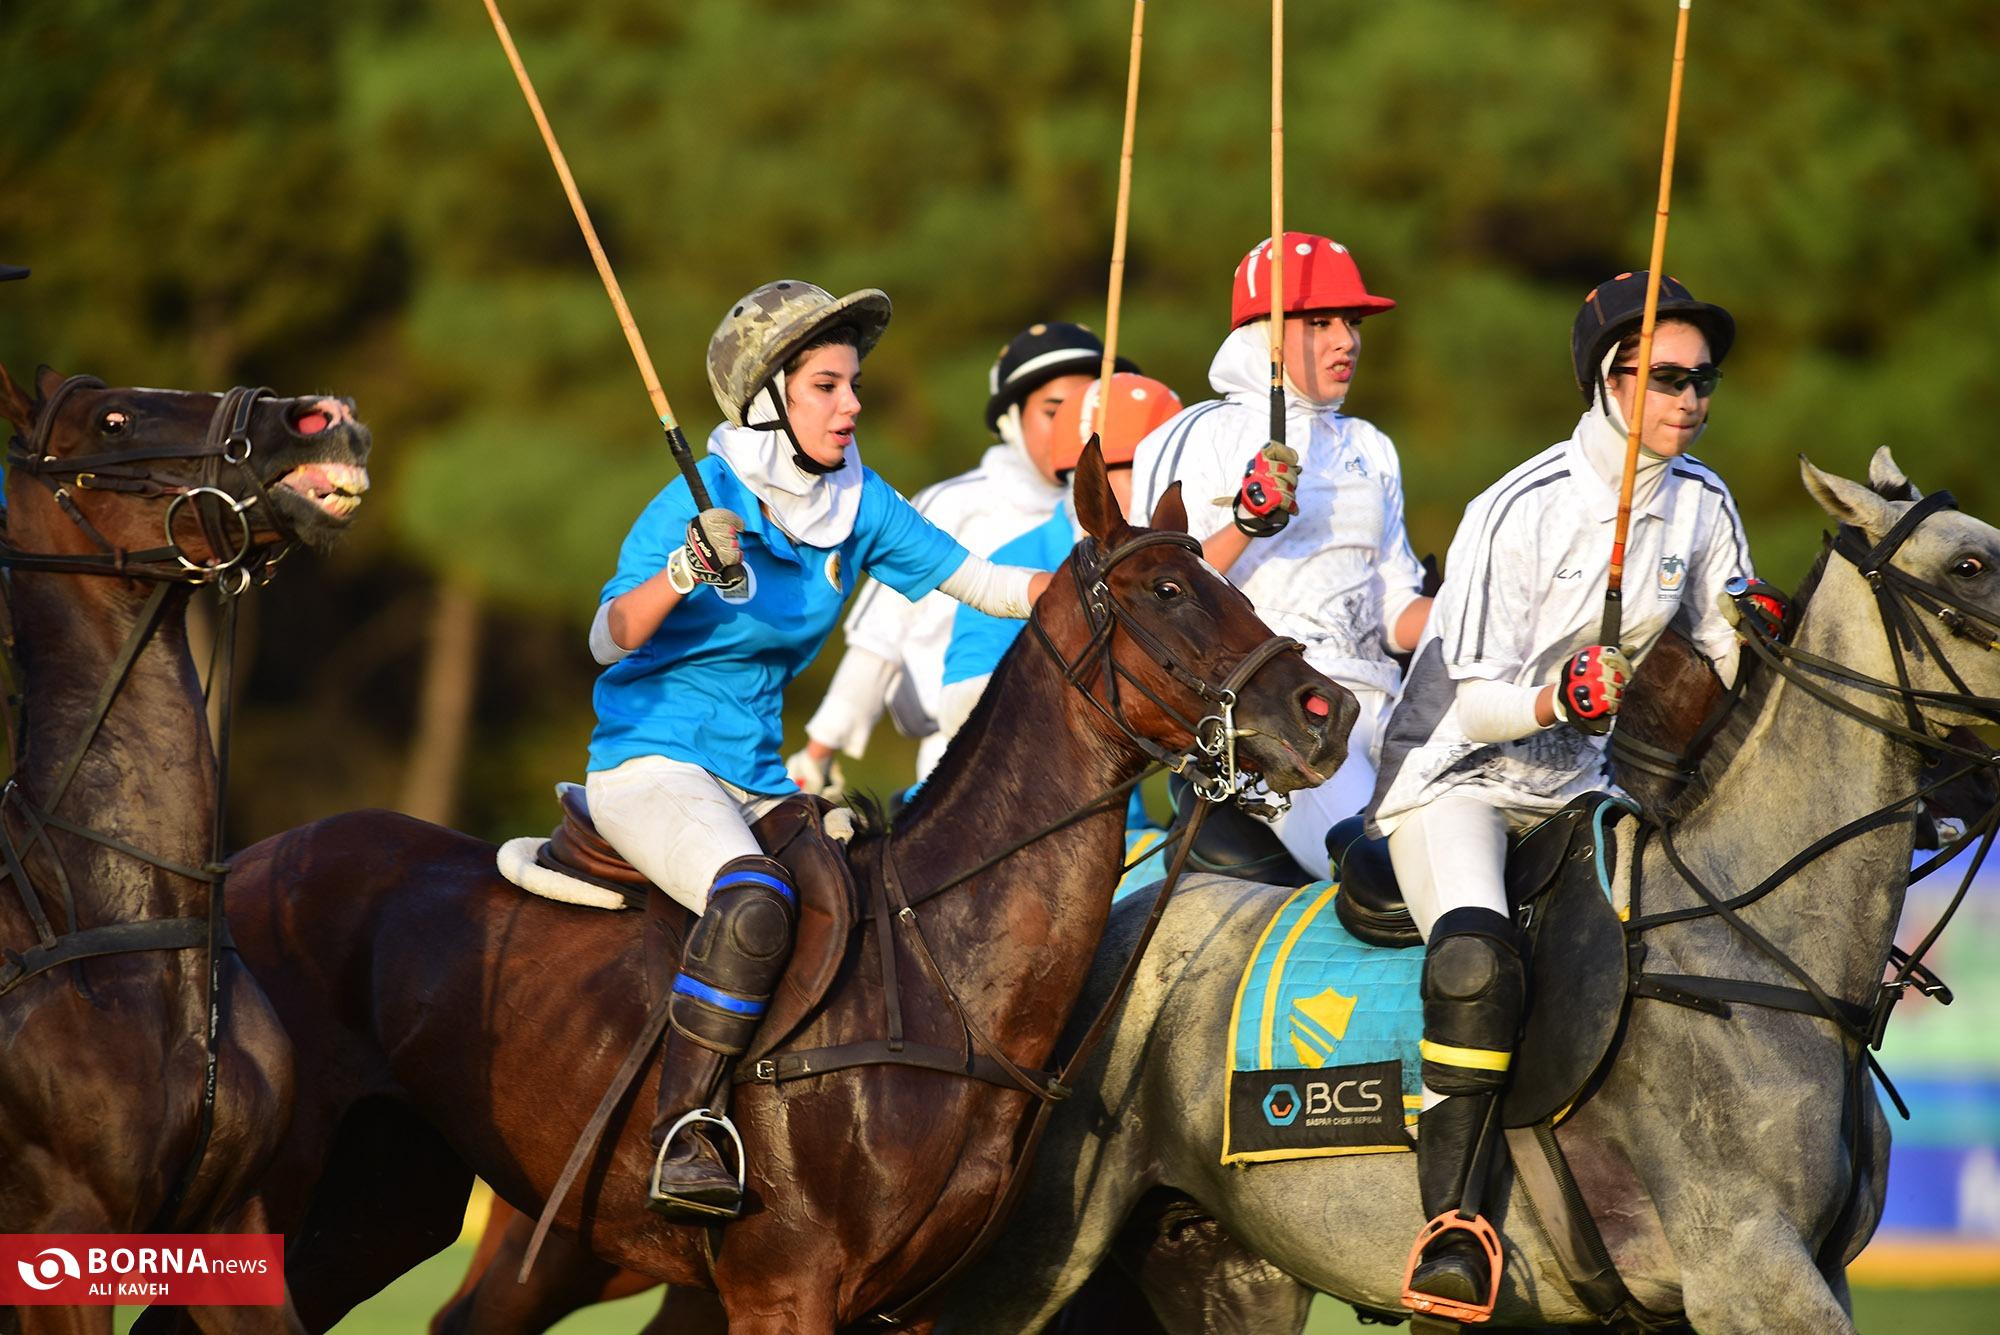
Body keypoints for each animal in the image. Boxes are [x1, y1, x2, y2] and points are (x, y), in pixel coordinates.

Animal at [201, 447, 1354, 1334]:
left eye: (1232, 583)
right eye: (1168, 593)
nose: (1325, 712)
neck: (943, 975)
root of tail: (255, 860)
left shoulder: (912, 1307)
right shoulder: (784, 1289)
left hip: (396, 1198)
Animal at [931, 449, 1999, 1335]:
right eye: (1968, 567)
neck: (1753, 950)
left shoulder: (1806, 1277)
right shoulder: (1749, 1270)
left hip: (1216, 1265)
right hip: (1026, 1257)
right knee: (1475, 964)